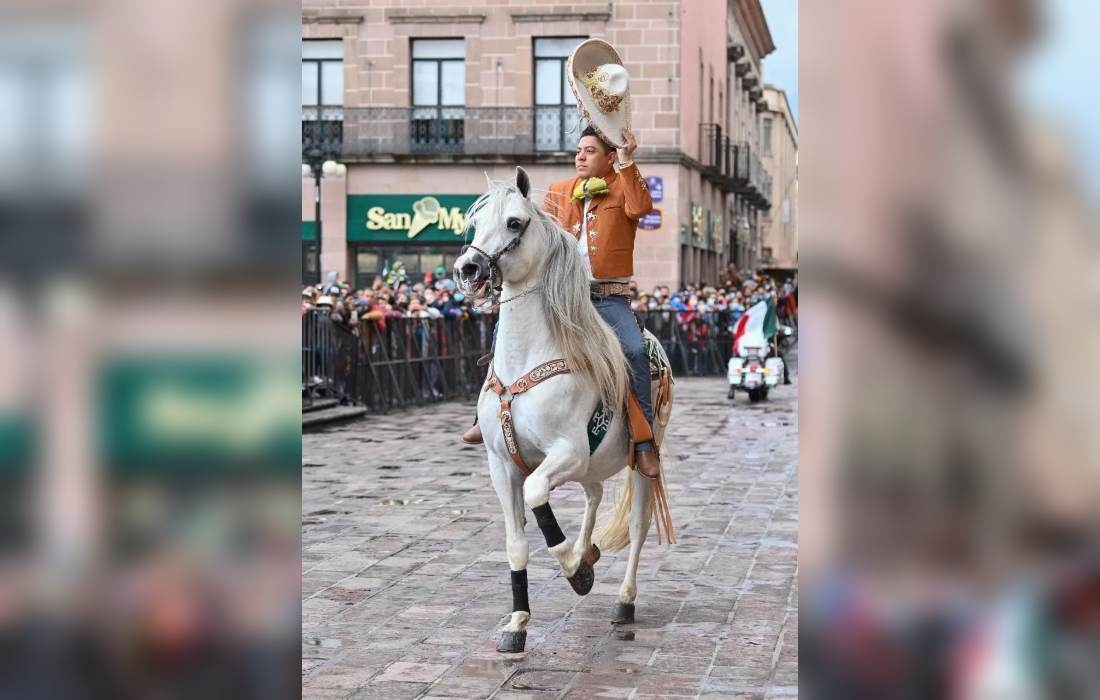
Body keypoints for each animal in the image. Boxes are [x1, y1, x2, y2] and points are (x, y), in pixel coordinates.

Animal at [451, 167, 673, 651]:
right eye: (474, 225)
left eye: (514, 223)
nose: (467, 269)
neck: (527, 362)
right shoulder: (501, 465)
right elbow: (516, 541)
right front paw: (517, 623)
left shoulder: (566, 452)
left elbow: (539, 496)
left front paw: (575, 570)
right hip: (590, 465)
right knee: (593, 495)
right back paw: (589, 550)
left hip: (637, 462)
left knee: (637, 525)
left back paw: (623, 599)